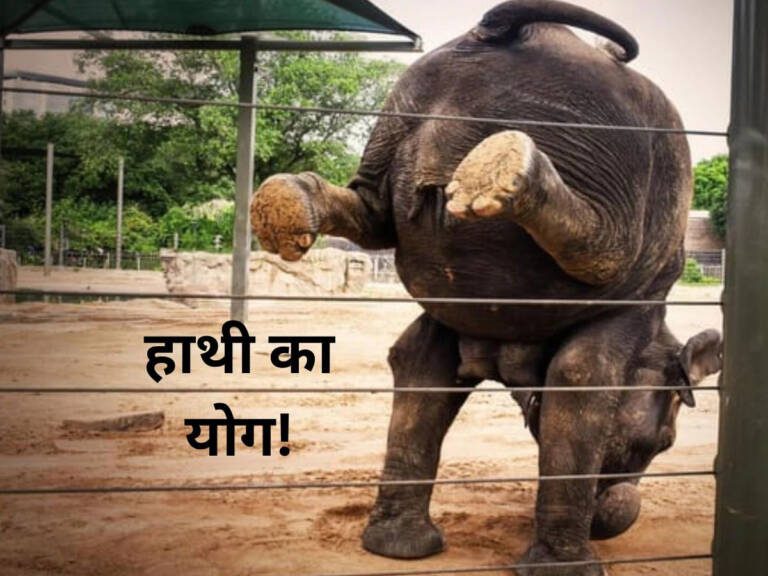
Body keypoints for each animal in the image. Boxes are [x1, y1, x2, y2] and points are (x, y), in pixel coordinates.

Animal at [249, 1, 723, 573]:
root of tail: (496, 29)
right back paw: (512, 170)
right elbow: (580, 378)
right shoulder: (645, 298)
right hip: (607, 170)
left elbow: (421, 366)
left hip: (400, 116)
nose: (607, 515)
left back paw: (290, 202)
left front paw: (398, 550)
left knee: (377, 217)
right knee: (606, 250)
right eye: (664, 442)